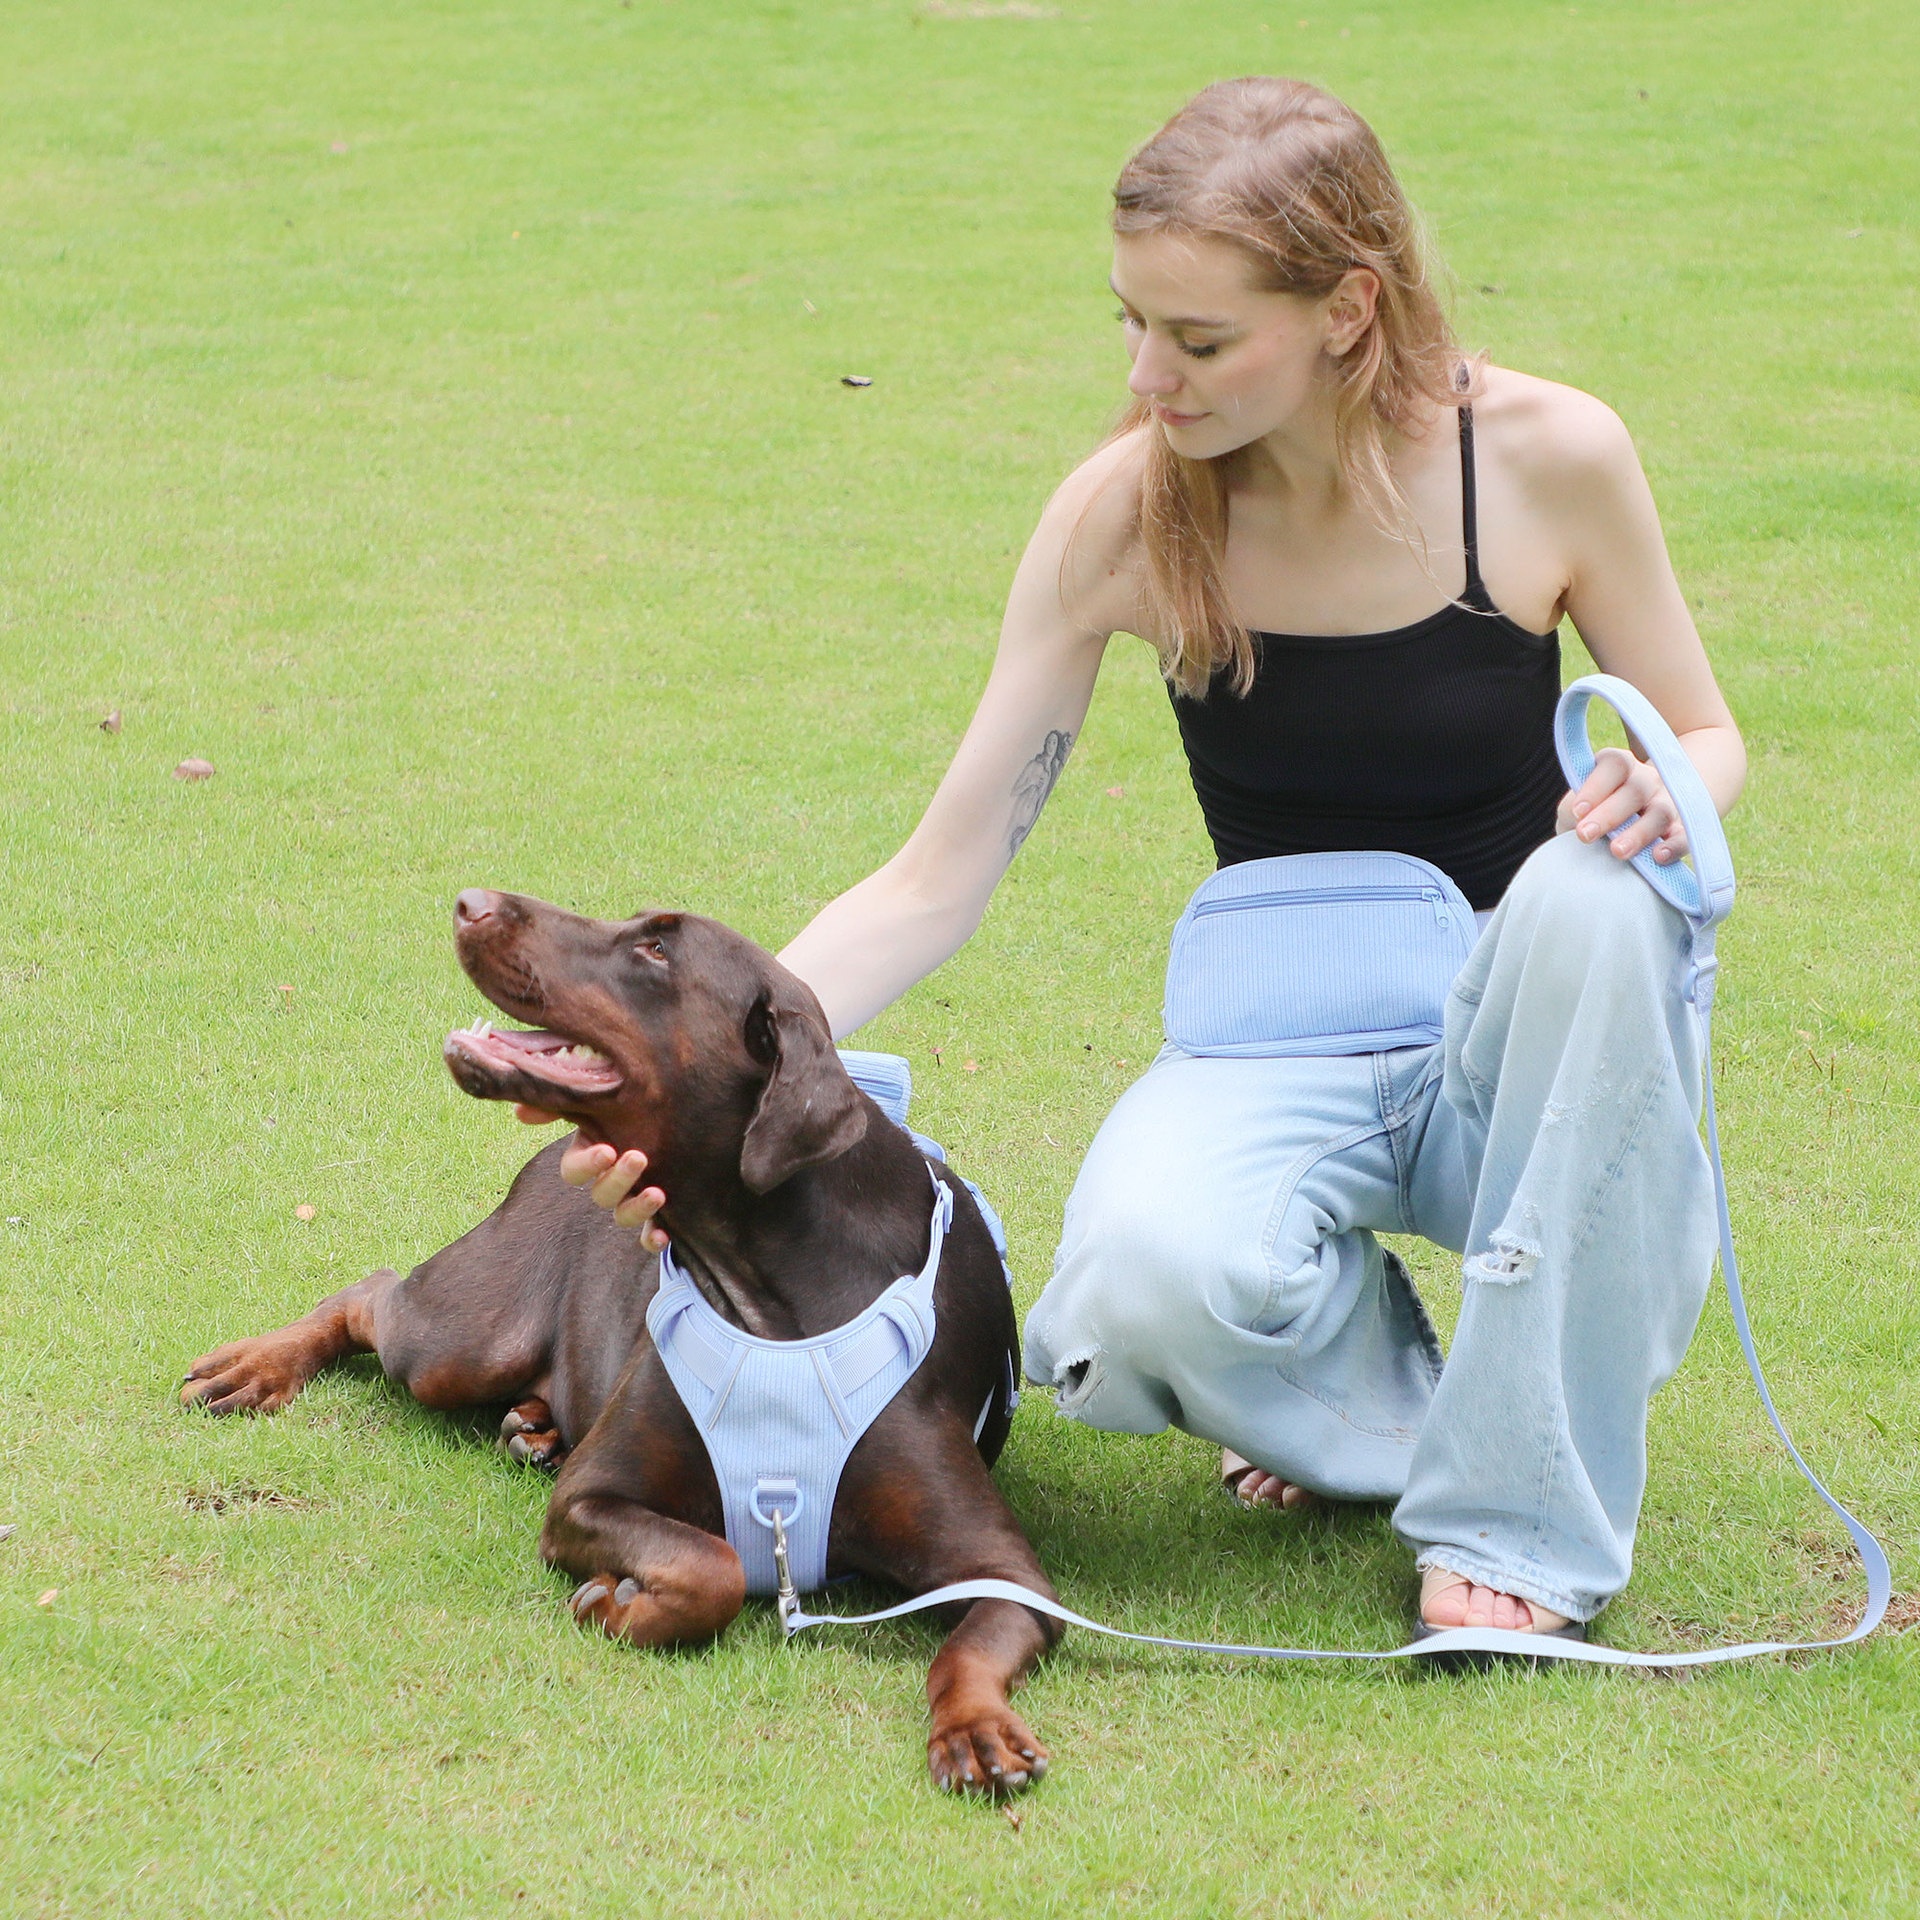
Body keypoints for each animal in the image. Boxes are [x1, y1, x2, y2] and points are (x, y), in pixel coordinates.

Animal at [182, 889, 1060, 1794]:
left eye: (656, 952)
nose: (472, 902)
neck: (776, 1297)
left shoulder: (1010, 1574)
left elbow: (970, 1644)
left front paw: (976, 1727)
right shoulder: (591, 1498)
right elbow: (715, 1563)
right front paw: (619, 1600)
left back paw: (533, 1427)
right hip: (461, 1341)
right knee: (370, 1293)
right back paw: (261, 1368)